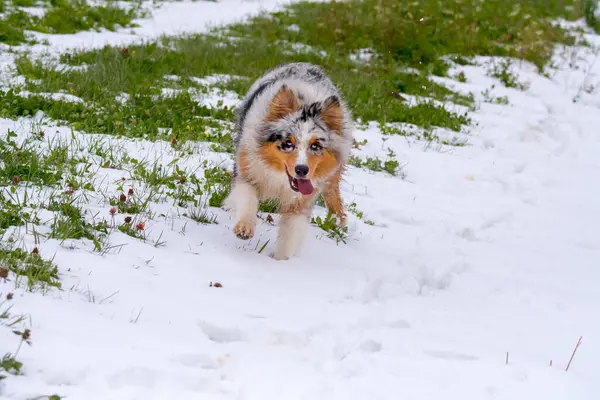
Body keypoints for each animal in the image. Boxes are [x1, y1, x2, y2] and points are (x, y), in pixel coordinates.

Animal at [226, 62, 356, 260]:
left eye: (316, 145)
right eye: (288, 143)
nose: (302, 170)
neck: (280, 179)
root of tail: (306, 64)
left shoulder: (301, 201)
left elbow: (289, 235)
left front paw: (281, 263)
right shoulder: (246, 171)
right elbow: (247, 199)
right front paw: (244, 229)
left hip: (333, 176)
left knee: (334, 198)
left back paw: (340, 223)